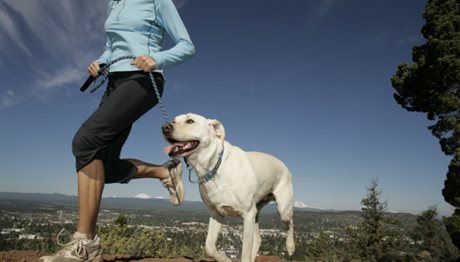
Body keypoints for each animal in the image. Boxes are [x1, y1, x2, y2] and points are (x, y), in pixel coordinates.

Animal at [164, 113, 296, 262]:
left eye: (190, 121)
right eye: (174, 120)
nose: (165, 127)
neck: (214, 167)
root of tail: (283, 164)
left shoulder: (248, 214)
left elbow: (245, 252)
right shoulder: (217, 212)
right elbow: (209, 247)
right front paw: (225, 258)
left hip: (282, 209)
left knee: (290, 222)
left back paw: (290, 247)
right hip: (256, 212)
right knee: (258, 239)